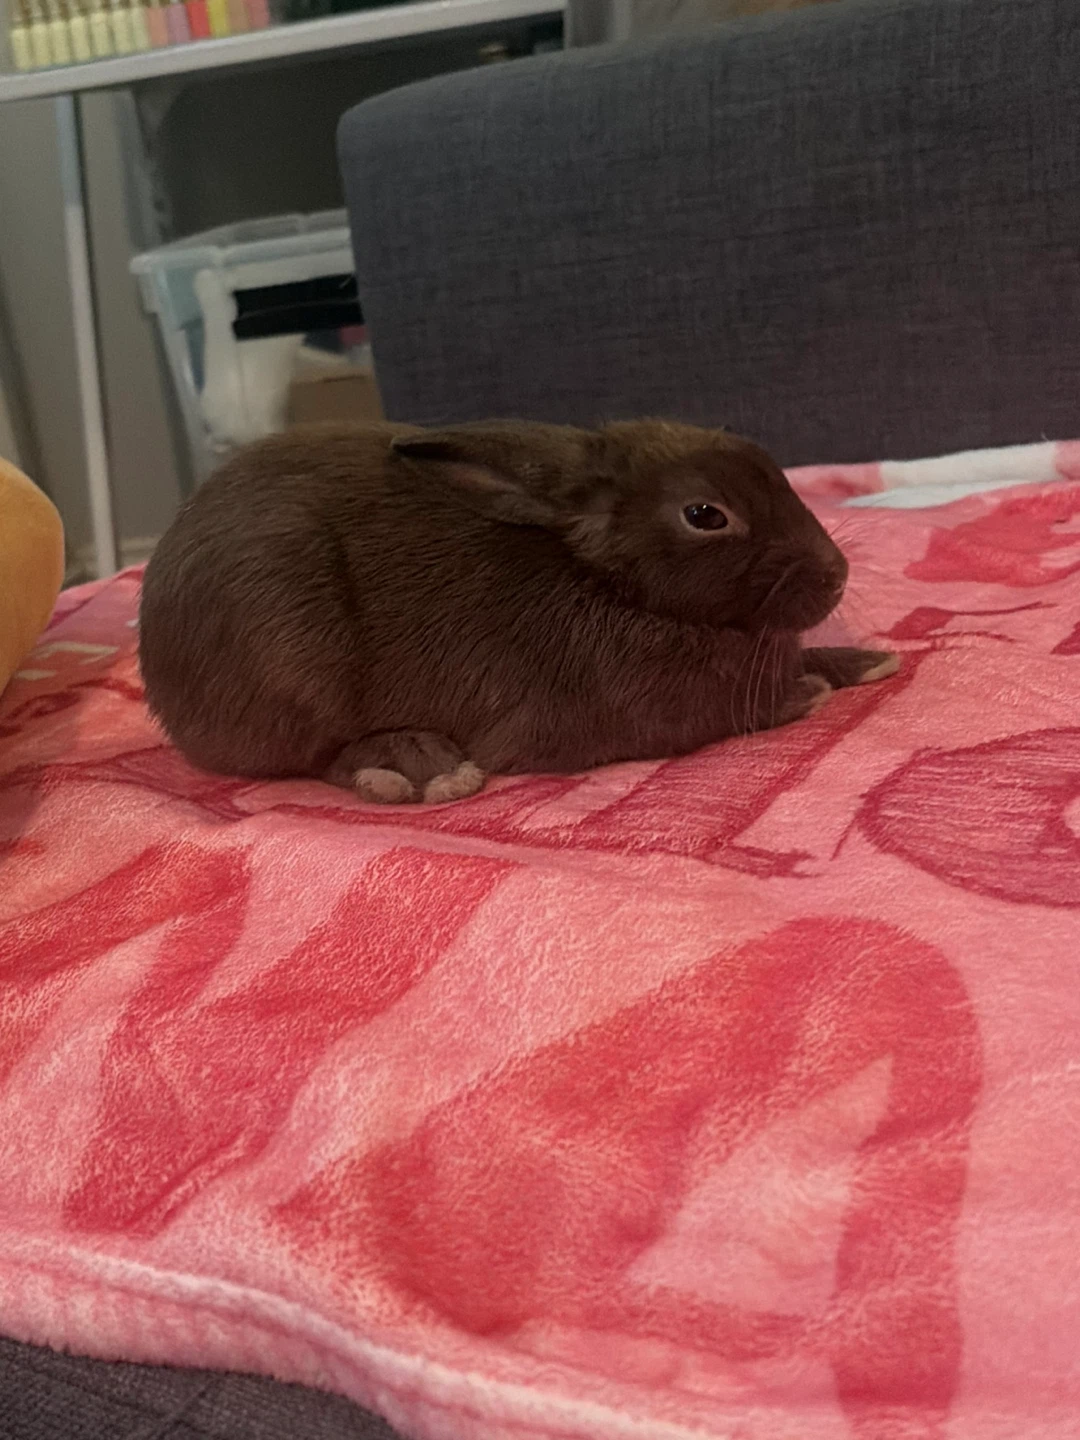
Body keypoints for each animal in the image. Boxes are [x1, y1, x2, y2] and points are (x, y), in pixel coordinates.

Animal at [138, 419, 898, 804]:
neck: (605, 579)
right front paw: (804, 690)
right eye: (705, 514)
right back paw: (421, 766)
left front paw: (862, 660)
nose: (838, 576)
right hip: (290, 661)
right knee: (316, 758)